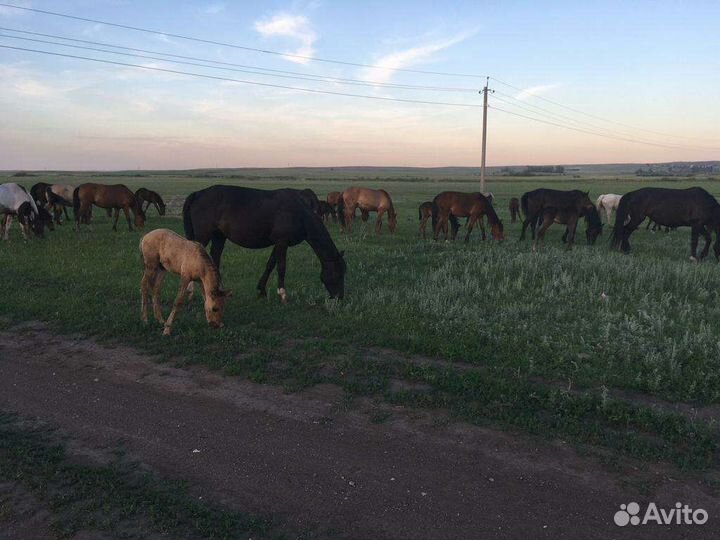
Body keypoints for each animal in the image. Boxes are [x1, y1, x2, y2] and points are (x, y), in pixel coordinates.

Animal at [182, 185, 346, 302]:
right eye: (339, 273)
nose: (339, 297)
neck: (299, 213)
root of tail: (198, 193)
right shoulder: (282, 242)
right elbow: (281, 267)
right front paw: (282, 295)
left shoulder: (279, 243)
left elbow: (270, 264)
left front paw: (261, 291)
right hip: (203, 236)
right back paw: (192, 292)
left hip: (219, 236)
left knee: (215, 257)